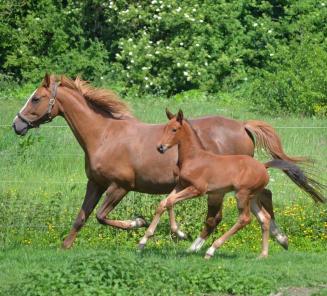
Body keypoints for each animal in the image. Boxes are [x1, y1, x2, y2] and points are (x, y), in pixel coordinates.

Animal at [14, 74, 302, 250]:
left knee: (223, 214)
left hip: (222, 188)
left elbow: (101, 216)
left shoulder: (120, 186)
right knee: (258, 200)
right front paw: (65, 247)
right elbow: (82, 217)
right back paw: (279, 238)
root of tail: (243, 126)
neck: (104, 134)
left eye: (36, 98)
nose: (17, 124)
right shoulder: (95, 184)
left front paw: (138, 224)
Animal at [140, 110, 326, 258]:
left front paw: (180, 233)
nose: (160, 147)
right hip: (251, 197)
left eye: (174, 129)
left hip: (241, 194)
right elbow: (164, 203)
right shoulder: (181, 186)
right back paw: (264, 253)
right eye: (164, 128)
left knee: (244, 219)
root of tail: (263, 166)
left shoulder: (197, 189)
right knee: (264, 217)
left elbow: (170, 202)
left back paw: (211, 250)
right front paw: (144, 240)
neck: (194, 157)